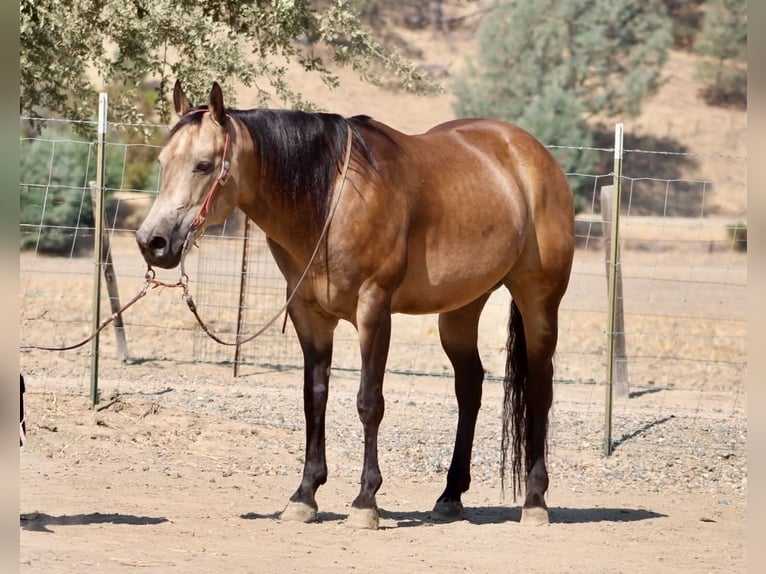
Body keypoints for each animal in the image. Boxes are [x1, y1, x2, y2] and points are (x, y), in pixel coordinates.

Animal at [136, 80, 574, 529]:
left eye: (204, 165)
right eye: (163, 161)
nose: (153, 242)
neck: (332, 199)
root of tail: (532, 153)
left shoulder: (374, 310)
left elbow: (369, 402)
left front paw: (366, 501)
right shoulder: (308, 314)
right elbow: (314, 398)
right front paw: (304, 496)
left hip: (539, 301)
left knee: (540, 389)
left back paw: (535, 501)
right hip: (461, 309)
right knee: (469, 385)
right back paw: (450, 496)